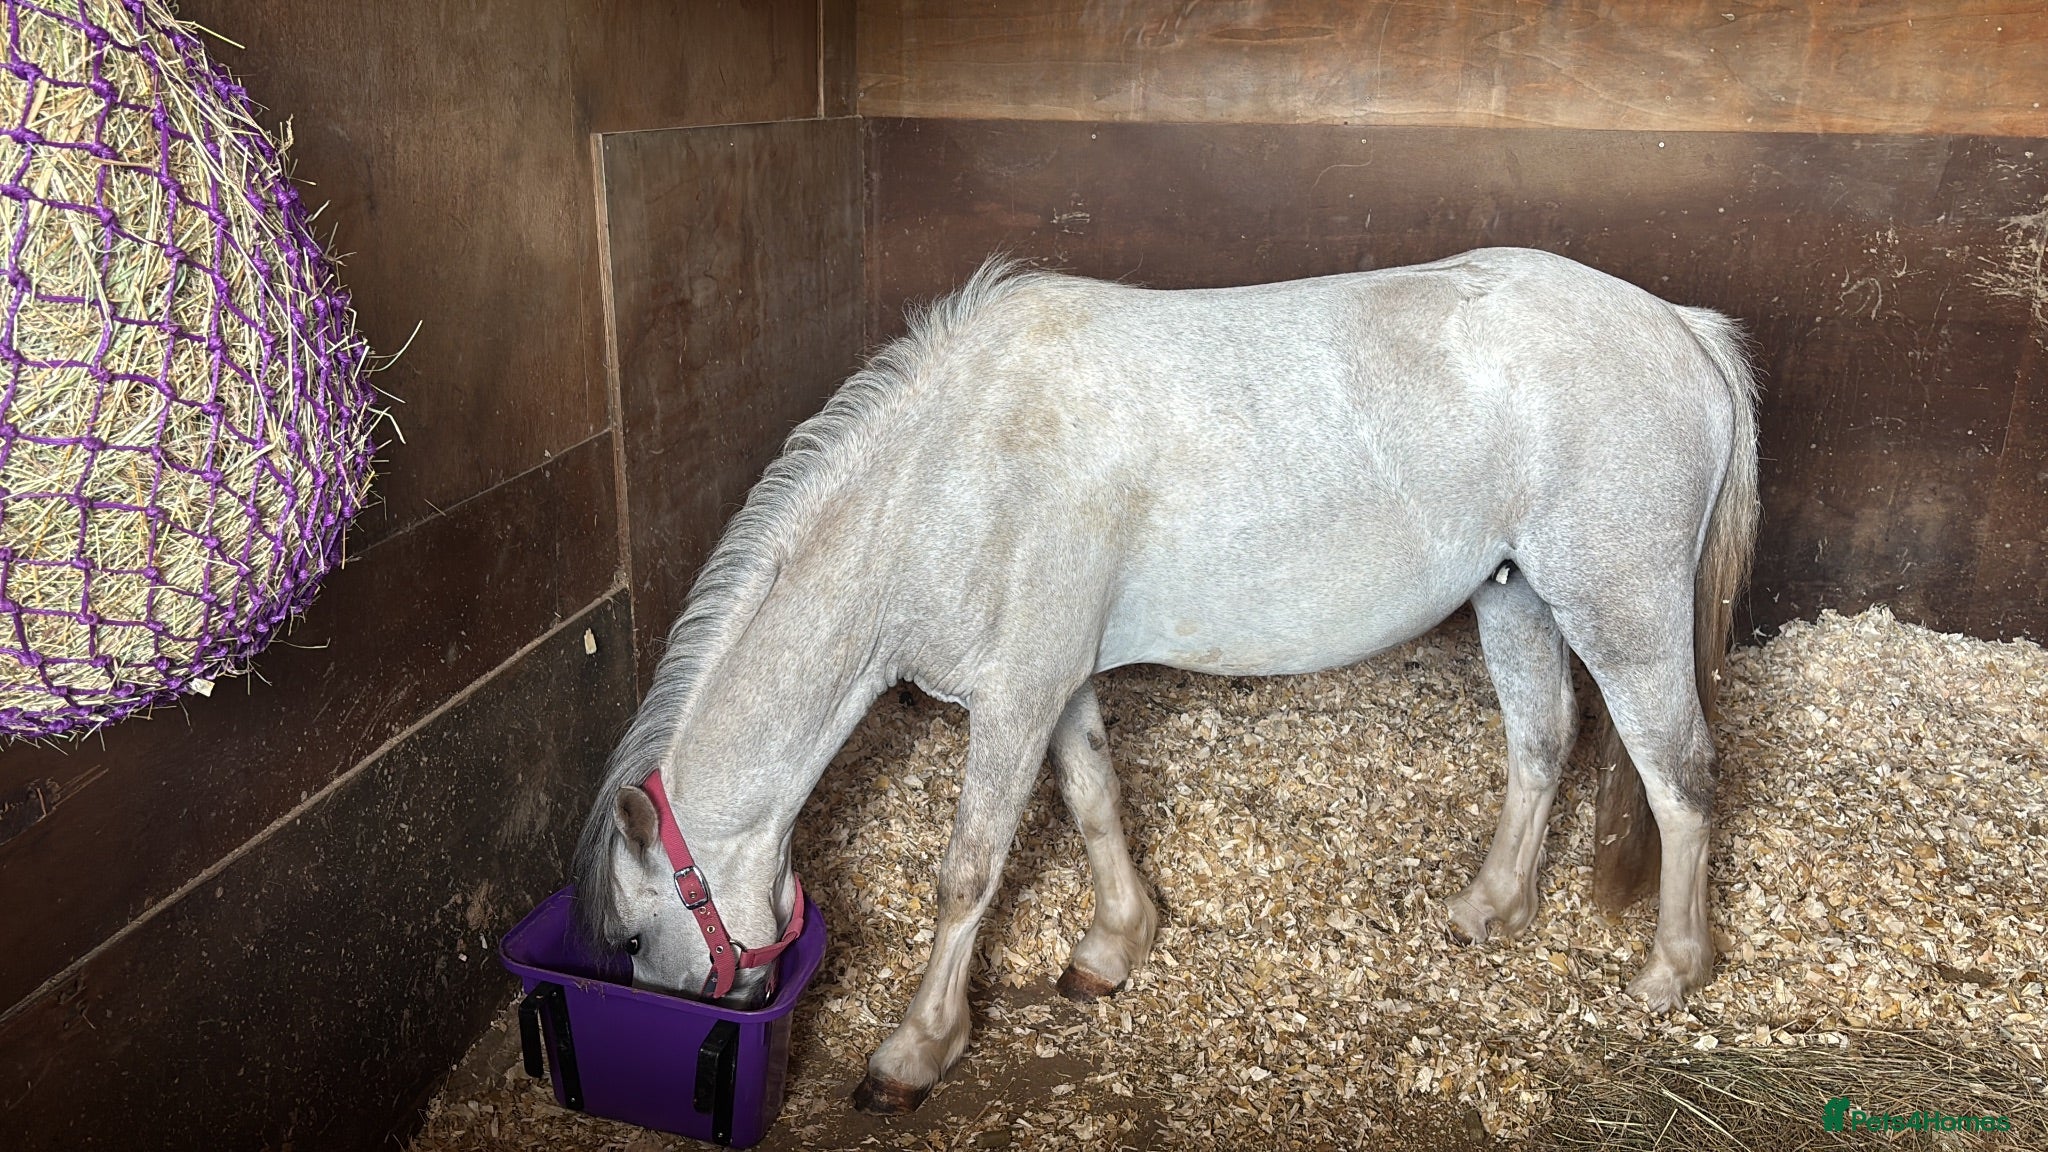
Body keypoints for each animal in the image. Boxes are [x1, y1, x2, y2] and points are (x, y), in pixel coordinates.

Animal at [571, 246, 1759, 1113]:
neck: (945, 479)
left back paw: (1671, 972)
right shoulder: (1052, 681)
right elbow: (1095, 797)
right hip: (1515, 597)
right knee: (1542, 743)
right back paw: (1491, 909)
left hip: (1621, 611)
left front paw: (914, 1051)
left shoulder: (1012, 700)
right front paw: (1113, 945)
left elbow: (968, 872)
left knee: (1681, 777)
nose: (733, 1005)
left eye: (627, 939)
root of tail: (1682, 330)